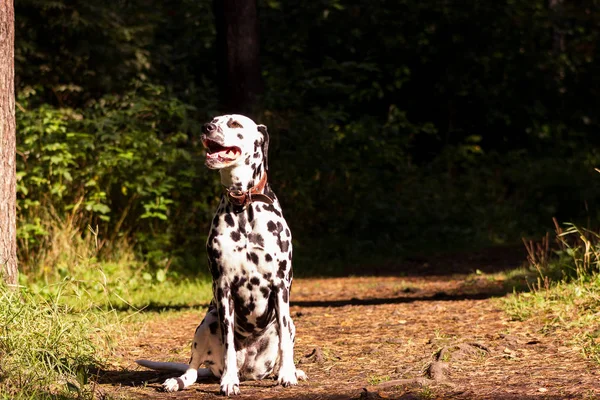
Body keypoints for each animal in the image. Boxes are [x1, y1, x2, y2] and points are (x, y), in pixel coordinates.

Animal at [136, 114, 304, 396]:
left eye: (235, 123)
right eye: (214, 120)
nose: (206, 128)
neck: (243, 206)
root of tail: (249, 370)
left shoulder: (281, 287)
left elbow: (284, 341)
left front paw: (288, 374)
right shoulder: (223, 287)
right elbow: (228, 344)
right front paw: (229, 381)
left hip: (290, 322)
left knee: (284, 341)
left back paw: (290, 371)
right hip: (207, 321)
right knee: (193, 369)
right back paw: (179, 381)